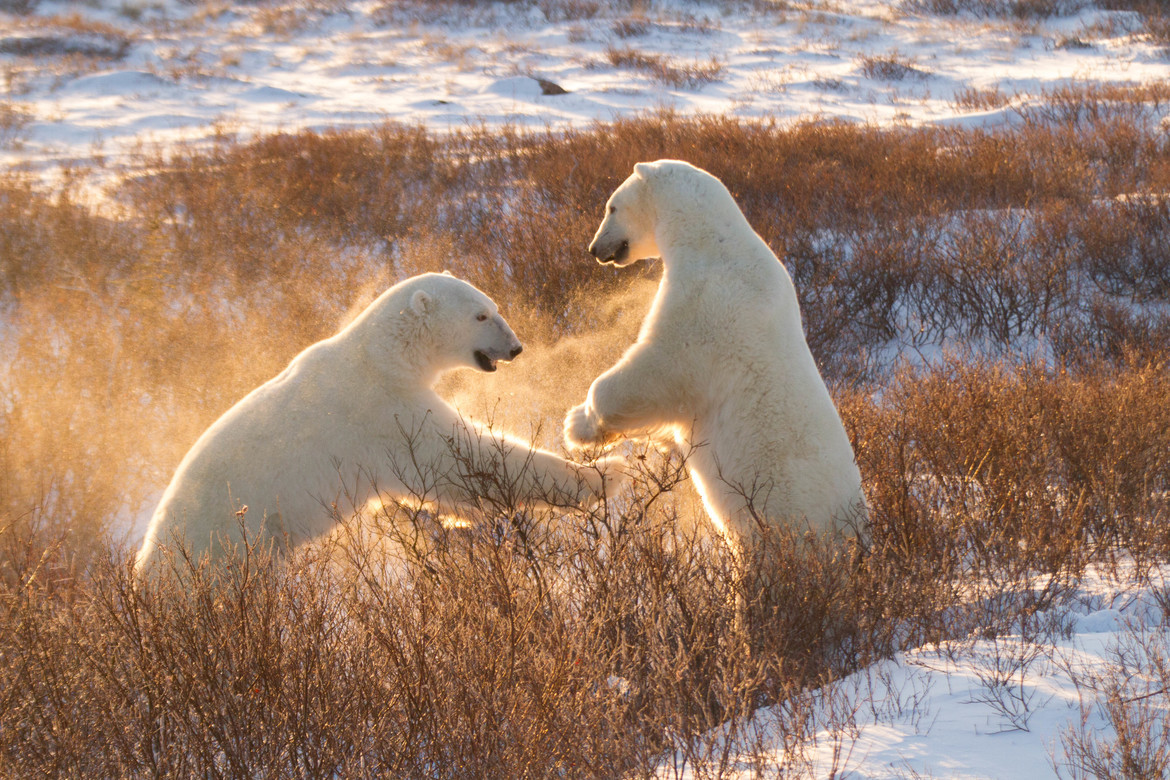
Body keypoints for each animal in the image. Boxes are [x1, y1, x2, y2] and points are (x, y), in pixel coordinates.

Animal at [136, 272, 621, 576]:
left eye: (493, 306)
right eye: (481, 315)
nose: (517, 347)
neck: (380, 357)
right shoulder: (382, 413)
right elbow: (461, 464)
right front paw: (605, 471)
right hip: (223, 544)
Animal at [564, 160, 866, 548]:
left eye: (611, 207)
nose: (594, 248)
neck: (711, 242)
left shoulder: (706, 306)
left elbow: (656, 369)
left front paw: (576, 424)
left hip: (785, 520)